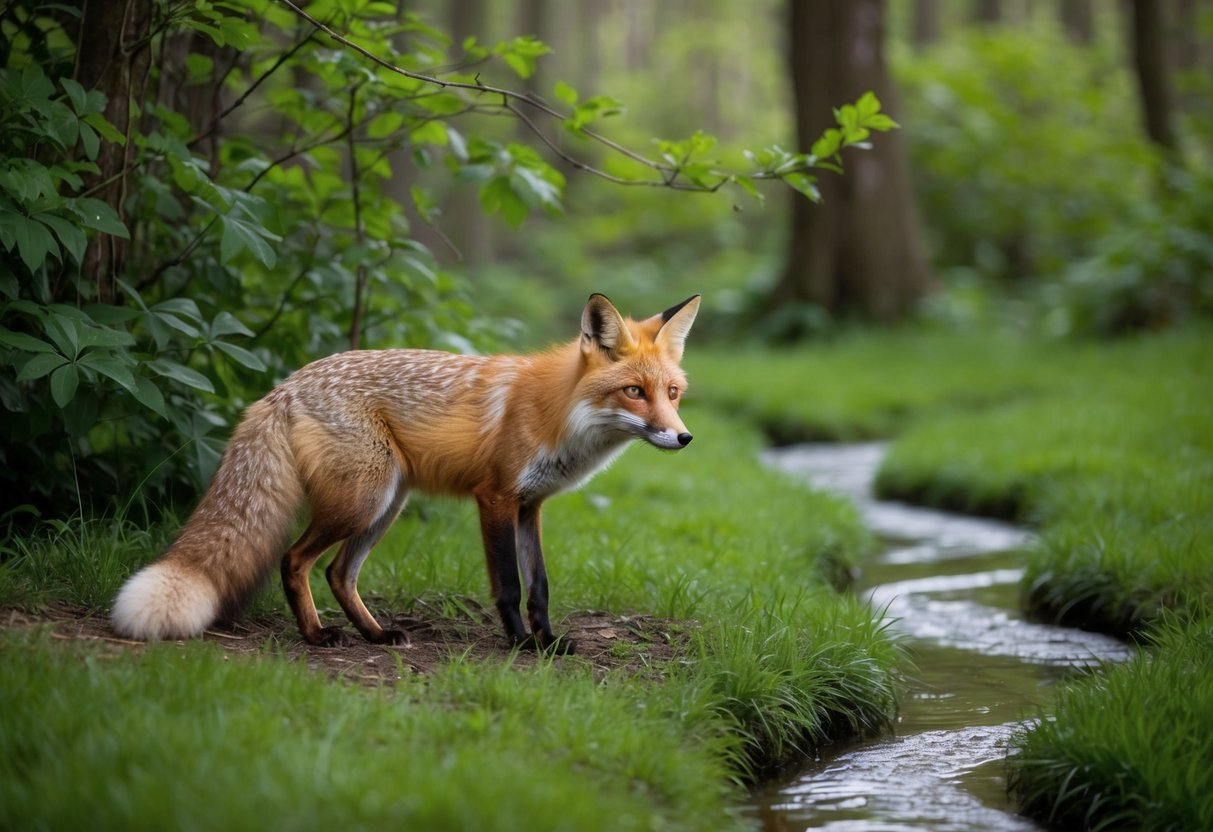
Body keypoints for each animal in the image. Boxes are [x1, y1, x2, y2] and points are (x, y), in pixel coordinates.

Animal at [111, 293, 700, 654]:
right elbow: (510, 585)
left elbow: (540, 587)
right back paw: (316, 636)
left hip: (385, 504)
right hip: (362, 501)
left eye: (672, 393)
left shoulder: (531, 505)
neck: (558, 412)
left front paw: (549, 642)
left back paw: (376, 635)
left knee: (338, 574)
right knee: (296, 561)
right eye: (634, 391)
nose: (684, 438)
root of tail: (283, 386)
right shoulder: (496, 497)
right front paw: (520, 645)